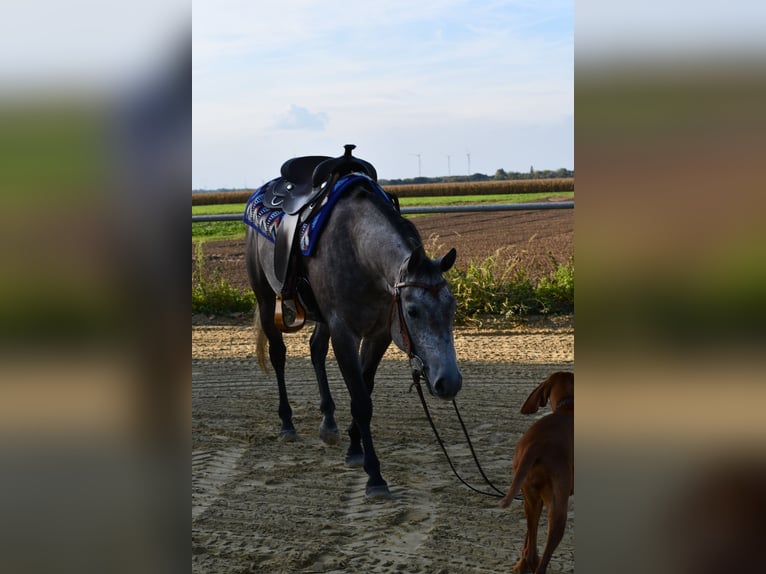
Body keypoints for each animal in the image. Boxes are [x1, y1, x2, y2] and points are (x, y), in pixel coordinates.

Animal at [245, 165, 462, 499]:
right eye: (413, 311)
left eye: (452, 307)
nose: (449, 383)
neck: (359, 249)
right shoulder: (344, 333)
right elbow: (361, 401)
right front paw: (374, 475)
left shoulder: (379, 333)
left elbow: (365, 385)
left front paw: (353, 445)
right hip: (266, 298)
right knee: (278, 354)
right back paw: (287, 424)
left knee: (315, 349)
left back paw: (328, 422)